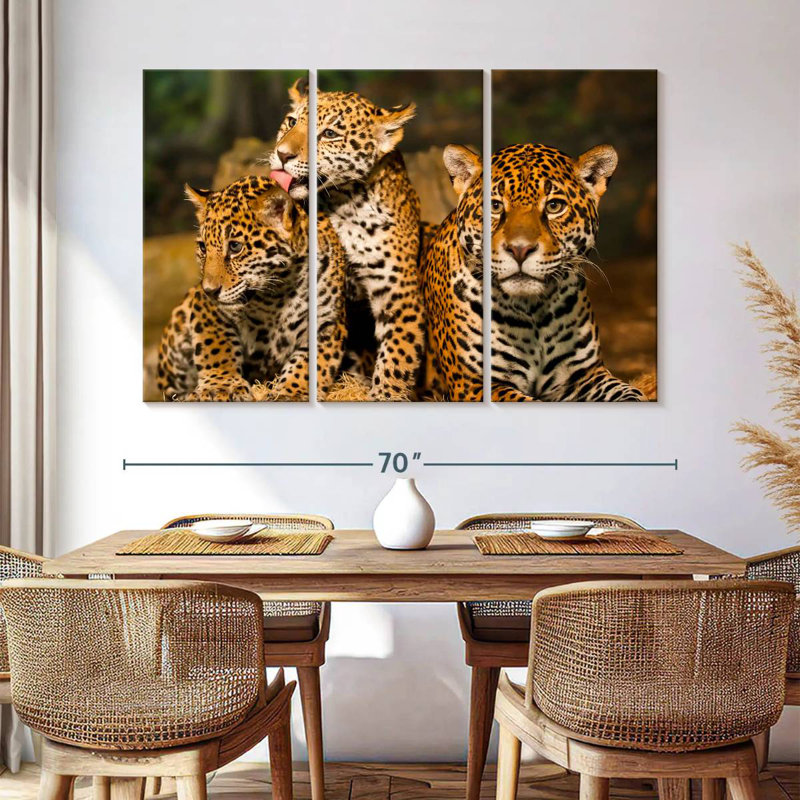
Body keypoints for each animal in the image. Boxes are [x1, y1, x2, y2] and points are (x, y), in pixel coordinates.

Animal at [156, 175, 346, 402]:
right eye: (203, 247)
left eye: (235, 247)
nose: (209, 290)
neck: (277, 293)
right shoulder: (207, 308)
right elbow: (216, 346)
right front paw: (220, 386)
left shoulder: (328, 322)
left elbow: (309, 363)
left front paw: (291, 392)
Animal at [268, 79, 425, 401]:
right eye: (291, 122)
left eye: (329, 134)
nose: (282, 154)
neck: (343, 203)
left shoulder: (400, 296)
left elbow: (396, 360)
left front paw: (384, 396)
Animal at [489, 143, 645, 401]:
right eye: (495, 206)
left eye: (554, 206)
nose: (520, 249)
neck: (534, 311)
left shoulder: (585, 375)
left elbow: (628, 392)